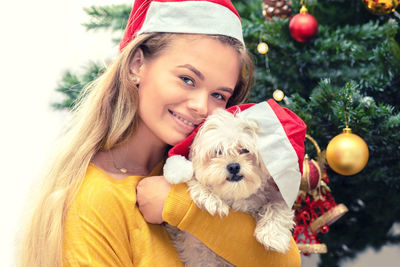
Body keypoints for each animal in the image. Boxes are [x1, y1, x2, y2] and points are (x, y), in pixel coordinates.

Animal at [163, 100, 306, 266]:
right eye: (218, 151)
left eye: (245, 150)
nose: (233, 166)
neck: (235, 195)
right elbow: (194, 180)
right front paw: (210, 198)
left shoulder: (274, 194)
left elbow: (277, 205)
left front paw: (272, 235)